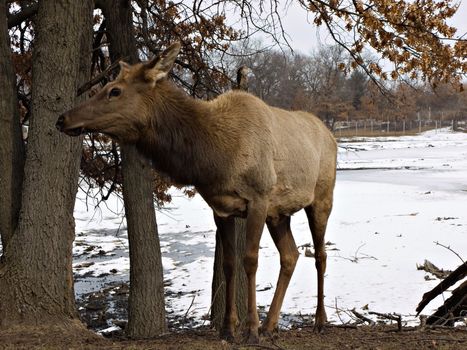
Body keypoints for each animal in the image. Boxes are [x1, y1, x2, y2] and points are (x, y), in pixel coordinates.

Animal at [56, 42, 338, 344]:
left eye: (115, 90)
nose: (63, 118)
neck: (215, 157)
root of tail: (331, 136)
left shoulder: (259, 197)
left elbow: (250, 260)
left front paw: (250, 330)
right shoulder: (221, 208)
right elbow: (229, 264)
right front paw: (228, 329)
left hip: (321, 197)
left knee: (320, 255)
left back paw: (319, 321)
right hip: (279, 213)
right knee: (291, 255)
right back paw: (271, 324)